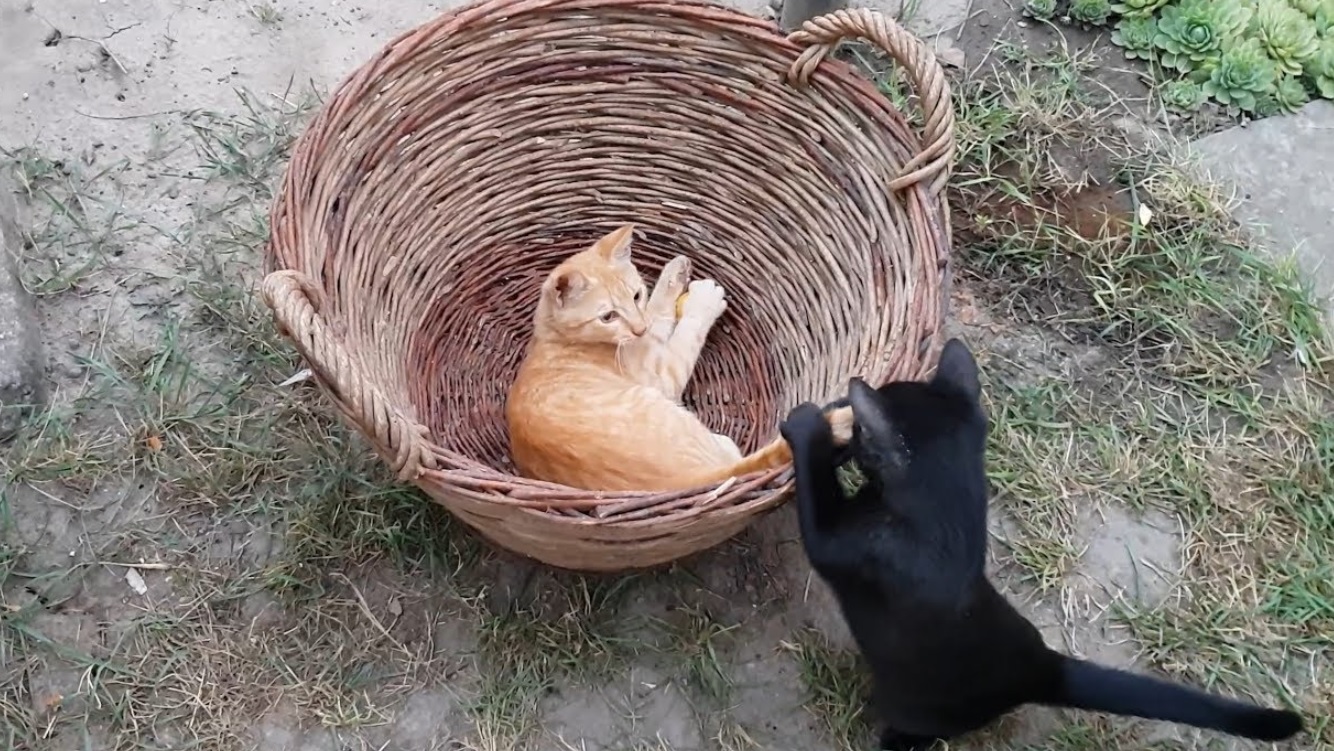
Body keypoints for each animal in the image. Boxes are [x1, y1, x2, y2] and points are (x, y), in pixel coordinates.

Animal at [504, 222, 848, 493]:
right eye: (608, 316)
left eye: (636, 295)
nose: (638, 329)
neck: (556, 337)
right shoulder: (662, 372)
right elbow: (683, 331)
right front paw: (703, 301)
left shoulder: (650, 331)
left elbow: (659, 313)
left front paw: (673, 274)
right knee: (734, 459)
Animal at [779, 341, 1301, 751]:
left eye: (861, 432)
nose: (848, 433)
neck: (947, 508)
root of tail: (1044, 668)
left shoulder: (845, 541)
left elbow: (814, 488)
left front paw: (807, 426)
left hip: (923, 709)